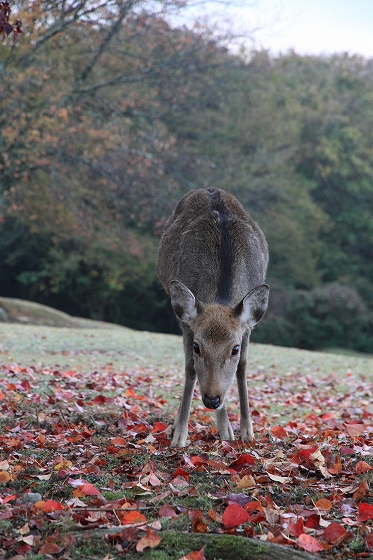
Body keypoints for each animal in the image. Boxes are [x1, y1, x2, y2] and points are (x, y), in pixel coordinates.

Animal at [156, 188, 268, 446]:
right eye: (198, 347)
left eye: (235, 349)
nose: (212, 399)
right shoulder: (187, 325)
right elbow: (190, 369)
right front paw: (179, 434)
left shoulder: (248, 329)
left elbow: (242, 368)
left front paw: (247, 431)